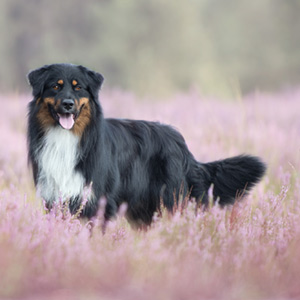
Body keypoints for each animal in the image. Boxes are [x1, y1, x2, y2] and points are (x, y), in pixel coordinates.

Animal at [27, 63, 268, 225]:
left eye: (78, 88)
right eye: (55, 87)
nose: (68, 104)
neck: (67, 138)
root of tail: (182, 145)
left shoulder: (99, 200)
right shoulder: (55, 199)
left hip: (171, 200)